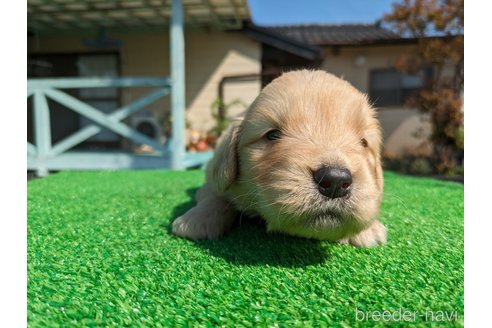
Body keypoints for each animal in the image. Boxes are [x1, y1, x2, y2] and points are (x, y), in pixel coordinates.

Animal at [173, 70, 388, 247]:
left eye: (363, 142)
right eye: (272, 135)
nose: (335, 181)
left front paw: (368, 229)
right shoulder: (213, 179)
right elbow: (214, 196)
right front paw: (196, 220)